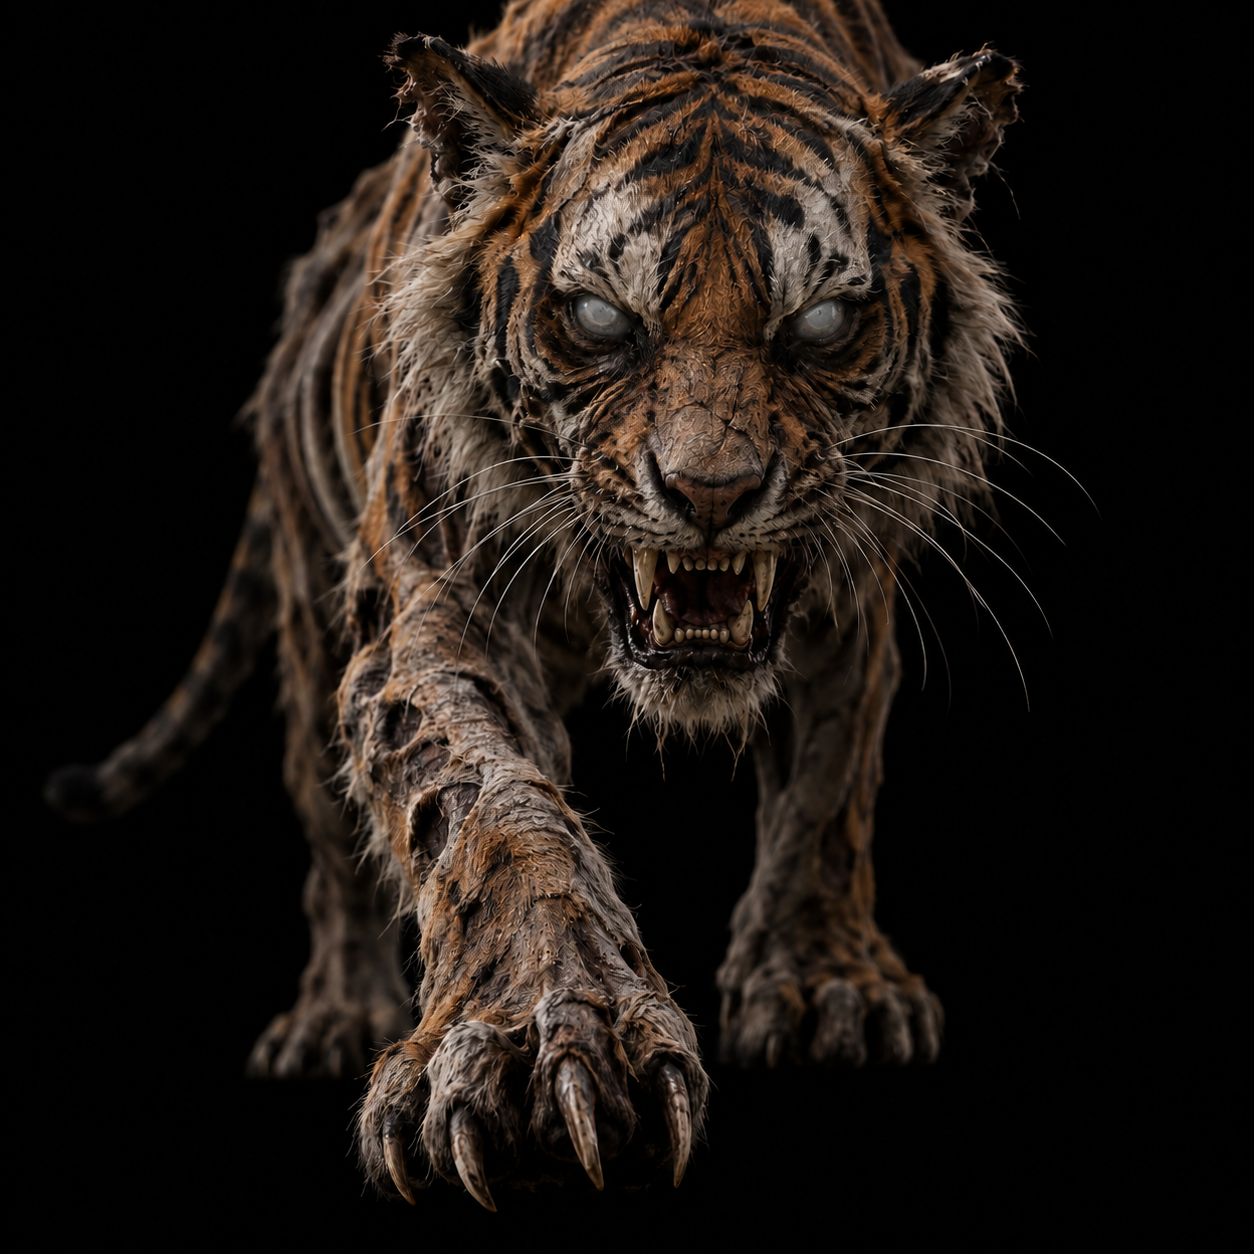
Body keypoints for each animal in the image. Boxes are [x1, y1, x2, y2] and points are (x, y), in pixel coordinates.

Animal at [46, 0, 1021, 1207]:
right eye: (601, 318)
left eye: (825, 321)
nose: (711, 493)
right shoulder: (437, 604)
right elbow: (491, 811)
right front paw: (541, 1045)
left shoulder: (848, 607)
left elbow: (828, 788)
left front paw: (823, 981)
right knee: (329, 838)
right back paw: (333, 1015)